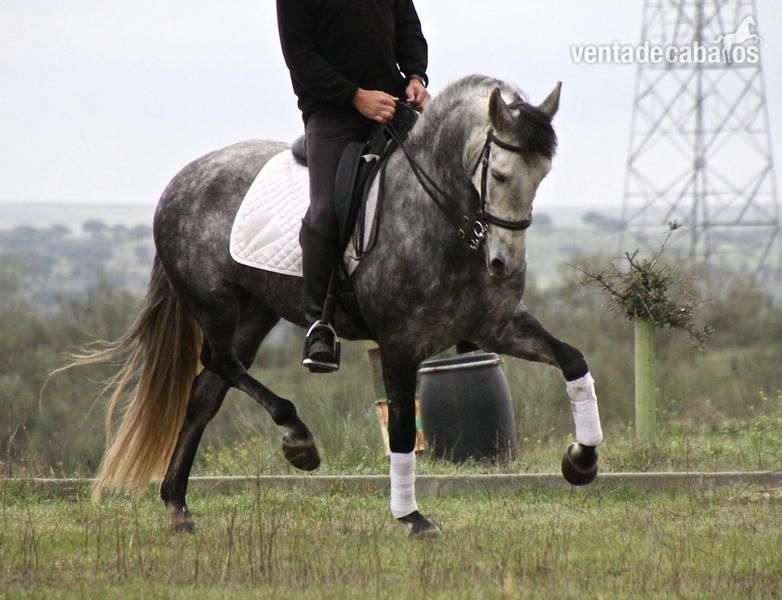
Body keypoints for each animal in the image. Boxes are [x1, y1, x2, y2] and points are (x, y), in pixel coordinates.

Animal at [71, 75, 603, 539]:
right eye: (500, 174)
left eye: (542, 175)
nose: (503, 266)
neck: (441, 218)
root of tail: (181, 181)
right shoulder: (400, 344)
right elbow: (403, 430)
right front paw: (412, 519)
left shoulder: (498, 326)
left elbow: (573, 360)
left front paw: (581, 460)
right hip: (215, 304)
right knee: (219, 363)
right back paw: (298, 440)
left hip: (256, 312)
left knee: (207, 390)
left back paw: (178, 505)